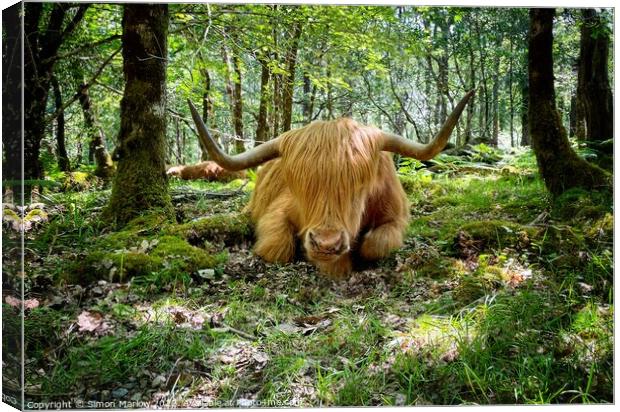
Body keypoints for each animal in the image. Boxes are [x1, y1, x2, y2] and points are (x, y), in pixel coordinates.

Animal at [188, 89, 474, 276]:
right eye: (299, 186)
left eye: (360, 186)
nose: (326, 243)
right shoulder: (278, 210)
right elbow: (277, 246)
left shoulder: (396, 216)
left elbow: (376, 244)